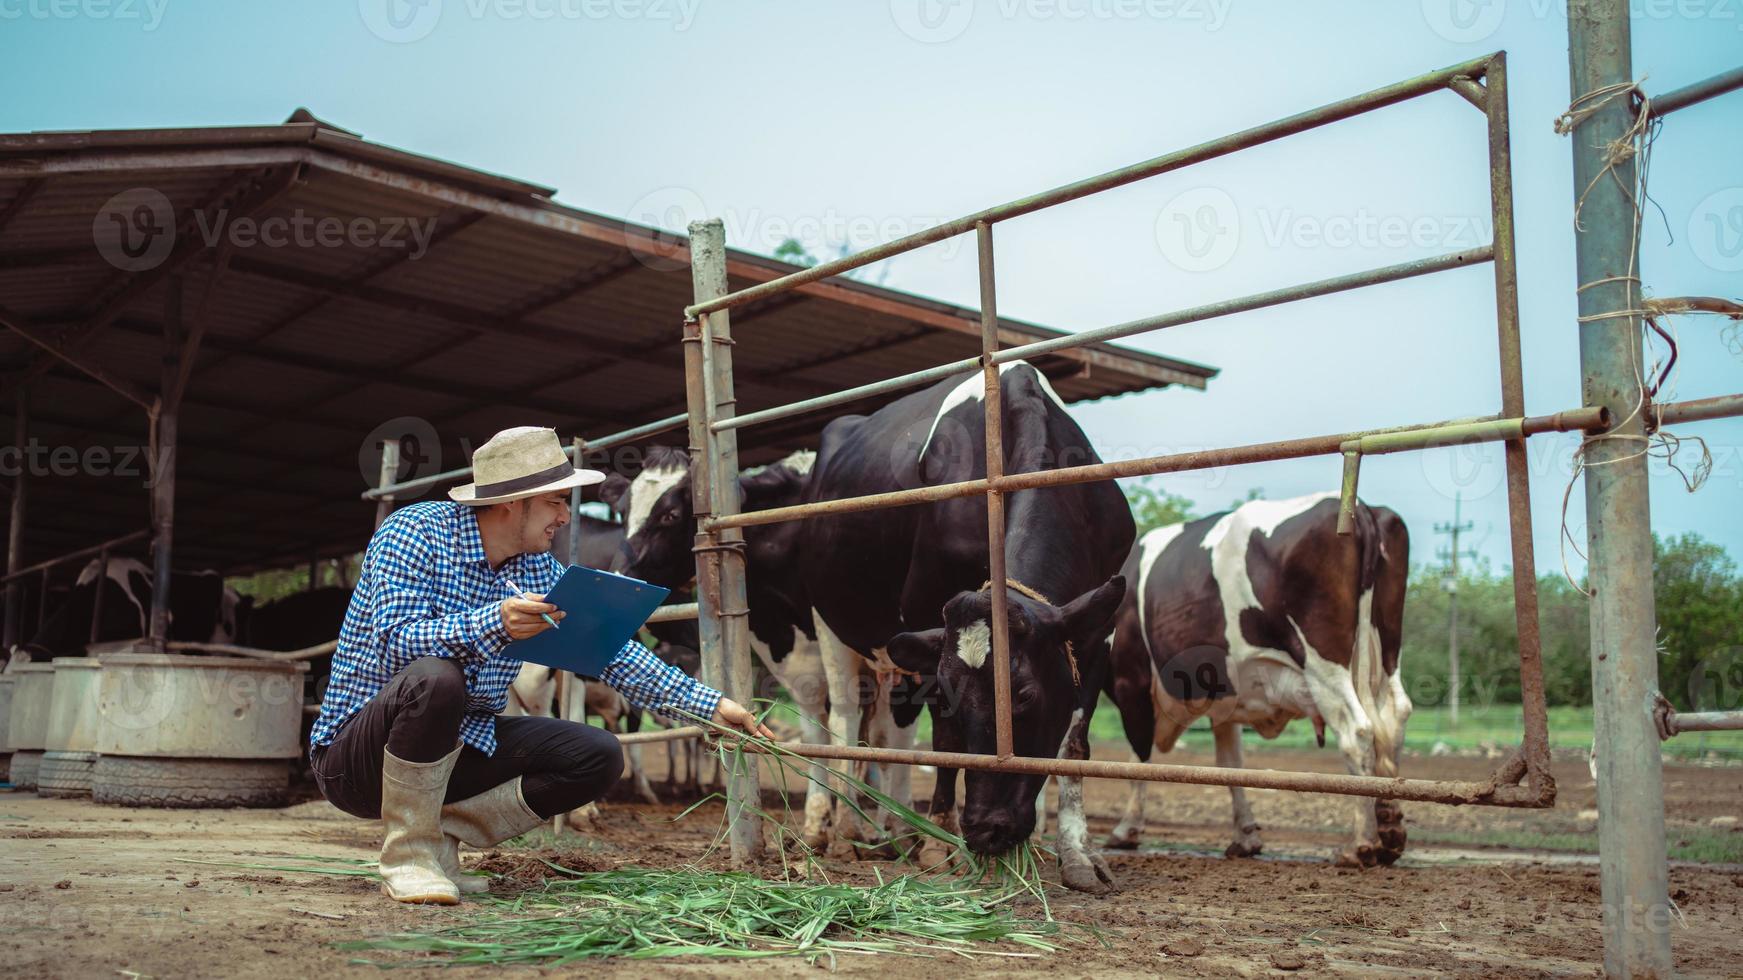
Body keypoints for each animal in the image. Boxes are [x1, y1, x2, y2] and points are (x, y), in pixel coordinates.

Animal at [1101, 491, 1415, 864]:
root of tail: (1362, 508)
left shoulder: (1130, 681)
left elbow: (1138, 757)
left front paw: (1126, 829)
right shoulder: (1222, 696)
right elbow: (1229, 764)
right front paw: (1246, 836)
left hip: (1324, 663)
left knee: (1358, 731)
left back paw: (1361, 843)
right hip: (1387, 654)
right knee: (1394, 719)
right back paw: (1390, 831)